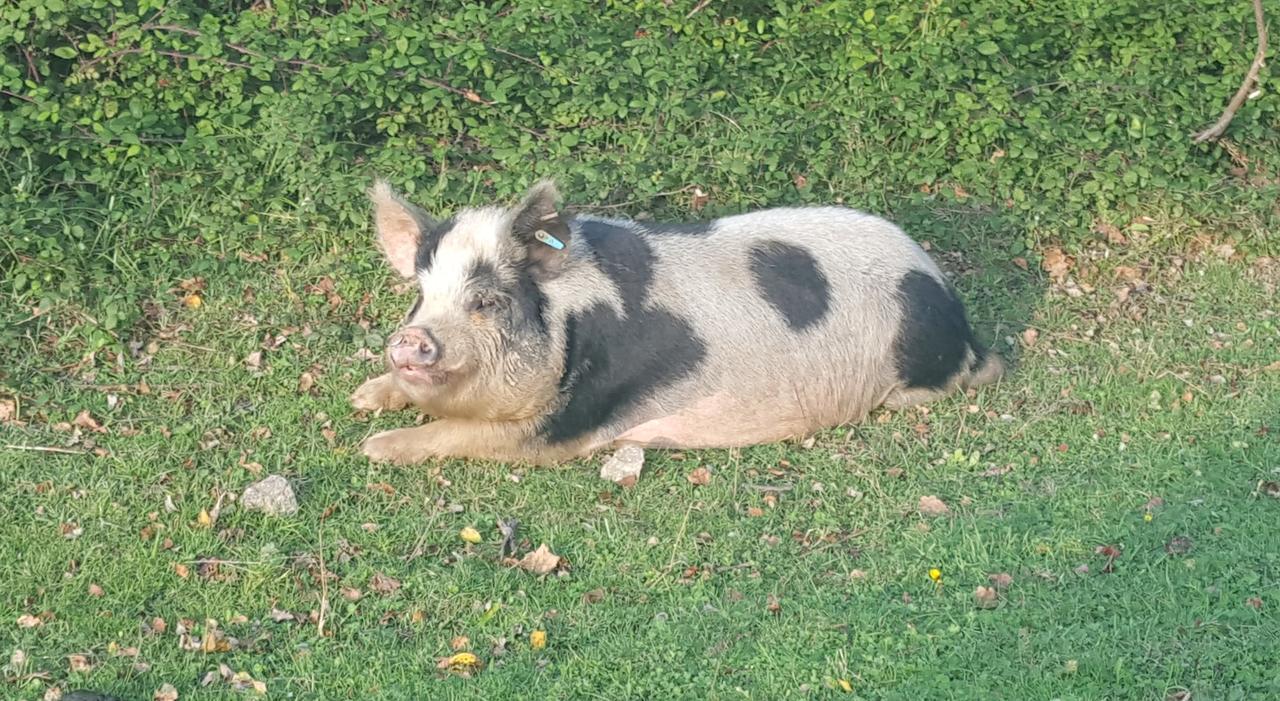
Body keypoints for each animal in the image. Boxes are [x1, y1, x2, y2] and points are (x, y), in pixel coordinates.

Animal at [350, 180, 998, 465]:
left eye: (486, 301)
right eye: (421, 295)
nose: (409, 339)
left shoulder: (573, 420)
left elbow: (458, 434)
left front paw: (372, 447)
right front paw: (361, 398)